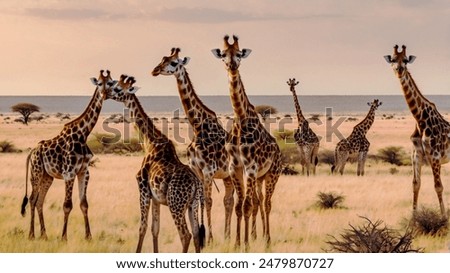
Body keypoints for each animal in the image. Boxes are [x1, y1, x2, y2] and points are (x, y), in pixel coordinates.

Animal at [20, 69, 118, 239]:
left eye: (111, 83)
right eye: (99, 83)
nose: (105, 93)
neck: (83, 134)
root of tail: (32, 151)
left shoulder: (84, 171)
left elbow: (84, 204)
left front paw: (88, 237)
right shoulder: (69, 172)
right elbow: (67, 205)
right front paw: (64, 237)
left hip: (47, 176)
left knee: (39, 201)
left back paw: (44, 235)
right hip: (36, 173)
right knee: (32, 199)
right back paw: (32, 234)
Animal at [110, 75, 206, 253]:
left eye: (118, 88)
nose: (106, 93)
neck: (149, 141)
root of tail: (196, 183)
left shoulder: (143, 188)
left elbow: (142, 227)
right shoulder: (156, 198)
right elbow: (155, 229)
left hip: (176, 205)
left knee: (186, 235)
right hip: (193, 204)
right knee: (196, 234)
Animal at [152, 47, 234, 241]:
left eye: (174, 62)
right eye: (163, 59)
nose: (155, 70)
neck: (198, 127)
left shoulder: (208, 171)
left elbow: (209, 201)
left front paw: (210, 238)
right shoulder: (196, 170)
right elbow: (202, 201)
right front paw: (203, 235)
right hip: (226, 176)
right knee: (229, 200)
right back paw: (227, 235)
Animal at [211, 33, 282, 246]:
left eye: (239, 53)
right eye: (223, 54)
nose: (232, 65)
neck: (241, 118)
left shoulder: (250, 166)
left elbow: (247, 205)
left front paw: (246, 244)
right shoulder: (235, 167)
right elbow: (239, 205)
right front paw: (237, 243)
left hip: (272, 174)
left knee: (266, 203)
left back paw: (267, 240)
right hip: (260, 177)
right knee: (259, 201)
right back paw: (258, 235)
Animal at [384, 44, 448, 217]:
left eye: (406, 60)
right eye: (393, 59)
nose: (399, 69)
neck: (420, 119)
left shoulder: (435, 156)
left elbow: (438, 186)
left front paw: (444, 218)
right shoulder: (416, 155)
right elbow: (415, 184)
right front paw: (413, 219)